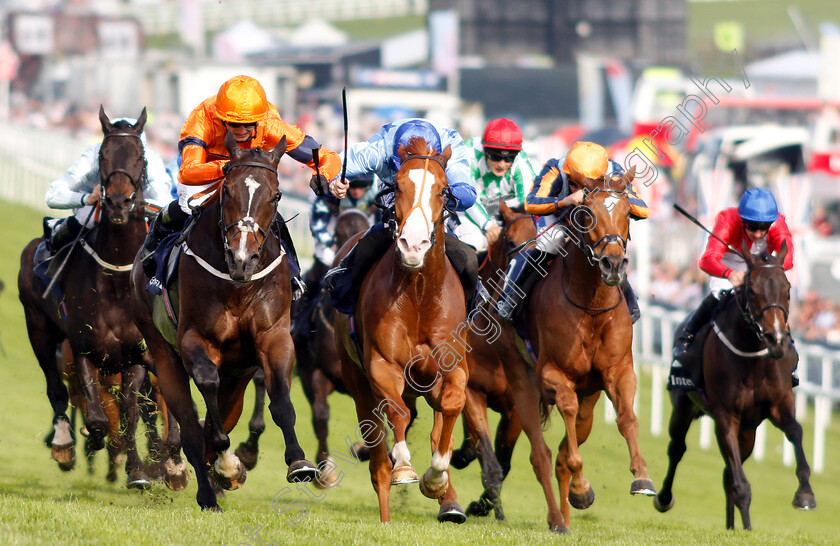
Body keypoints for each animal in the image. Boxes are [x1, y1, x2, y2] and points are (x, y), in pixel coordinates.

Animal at [18, 108, 153, 486]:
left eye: (140, 156)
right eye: (103, 156)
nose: (119, 202)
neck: (118, 279)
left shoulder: (137, 355)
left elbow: (130, 410)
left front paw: (137, 471)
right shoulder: (83, 348)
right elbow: (95, 417)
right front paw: (92, 440)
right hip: (38, 329)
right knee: (55, 387)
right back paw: (64, 443)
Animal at [130, 132, 316, 510]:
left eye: (276, 195)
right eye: (227, 190)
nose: (242, 258)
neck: (237, 285)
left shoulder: (274, 336)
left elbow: (281, 401)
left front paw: (299, 462)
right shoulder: (195, 339)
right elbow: (206, 392)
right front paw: (227, 463)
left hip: (239, 373)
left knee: (225, 413)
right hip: (162, 350)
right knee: (188, 424)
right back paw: (206, 488)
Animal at [334, 136, 466, 520]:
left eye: (442, 190)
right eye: (398, 187)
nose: (413, 245)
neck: (419, 295)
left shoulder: (452, 367)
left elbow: (452, 406)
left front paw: (437, 478)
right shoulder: (381, 365)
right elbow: (398, 414)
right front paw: (405, 467)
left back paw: (449, 500)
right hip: (356, 380)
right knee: (377, 457)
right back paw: (386, 516)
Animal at [520, 172, 656, 528]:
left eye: (627, 213)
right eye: (585, 213)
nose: (613, 264)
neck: (591, 306)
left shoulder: (619, 370)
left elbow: (627, 418)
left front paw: (642, 477)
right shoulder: (550, 373)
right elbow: (566, 412)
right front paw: (582, 488)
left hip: (590, 401)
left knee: (567, 447)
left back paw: (564, 518)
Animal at [652, 241, 816, 528]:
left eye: (787, 290)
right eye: (752, 290)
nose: (776, 340)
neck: (753, 358)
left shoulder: (779, 406)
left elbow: (795, 431)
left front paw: (805, 494)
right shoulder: (726, 415)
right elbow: (741, 484)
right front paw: (747, 527)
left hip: (748, 431)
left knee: (728, 471)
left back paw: (731, 527)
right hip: (683, 405)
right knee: (678, 448)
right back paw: (664, 498)